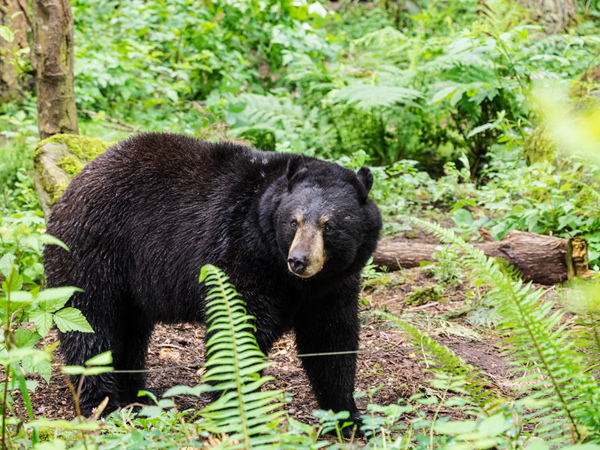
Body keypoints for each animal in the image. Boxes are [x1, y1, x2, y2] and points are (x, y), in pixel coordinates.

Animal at [44, 133, 382, 428]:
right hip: (95, 252)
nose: (299, 260)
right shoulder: (241, 255)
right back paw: (102, 403)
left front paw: (348, 417)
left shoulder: (333, 288)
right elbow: (239, 330)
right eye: (293, 221)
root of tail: (70, 189)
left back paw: (137, 396)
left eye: (329, 225)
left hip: (130, 284)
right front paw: (238, 412)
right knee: (91, 325)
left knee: (130, 331)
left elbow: (331, 341)